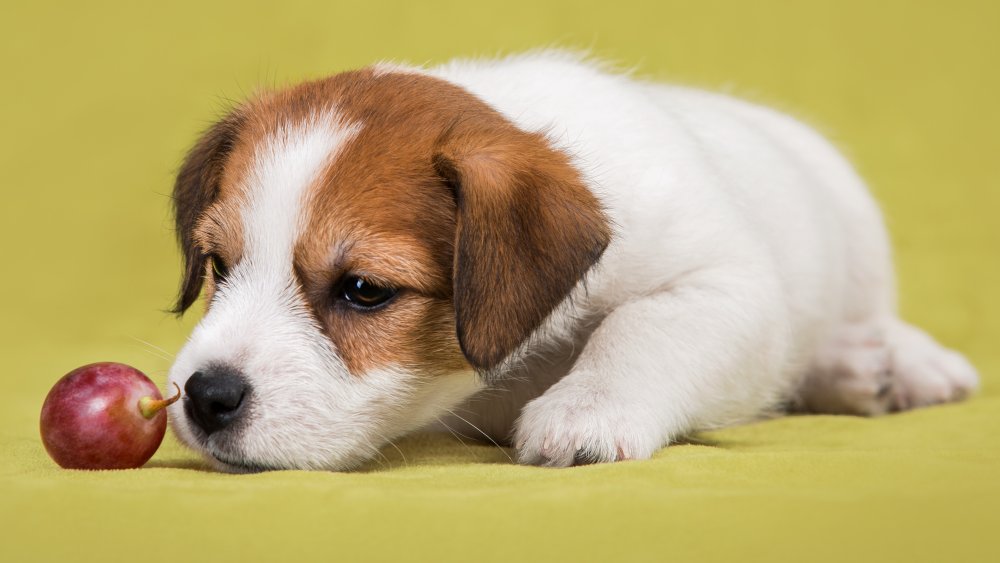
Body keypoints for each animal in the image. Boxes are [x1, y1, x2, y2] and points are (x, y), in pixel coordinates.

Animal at [168, 51, 980, 472]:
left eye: (364, 290)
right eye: (219, 266)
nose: (206, 396)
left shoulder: (726, 285)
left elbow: (640, 327)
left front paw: (586, 410)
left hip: (857, 252)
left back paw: (897, 361)